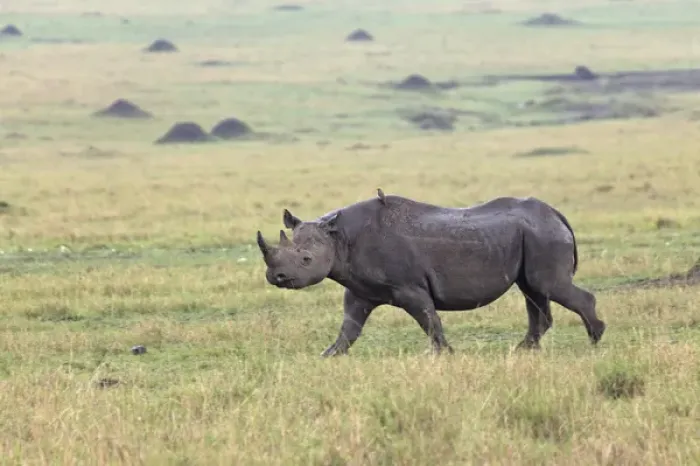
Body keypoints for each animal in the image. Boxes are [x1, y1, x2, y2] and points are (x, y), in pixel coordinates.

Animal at [256, 190, 606, 357]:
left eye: (306, 259)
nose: (277, 278)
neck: (338, 236)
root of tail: (556, 214)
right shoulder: (359, 289)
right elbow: (349, 327)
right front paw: (328, 355)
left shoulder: (408, 287)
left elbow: (428, 319)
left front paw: (442, 355)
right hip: (533, 235)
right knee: (534, 291)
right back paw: (523, 350)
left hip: (542, 235)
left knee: (548, 286)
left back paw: (595, 339)